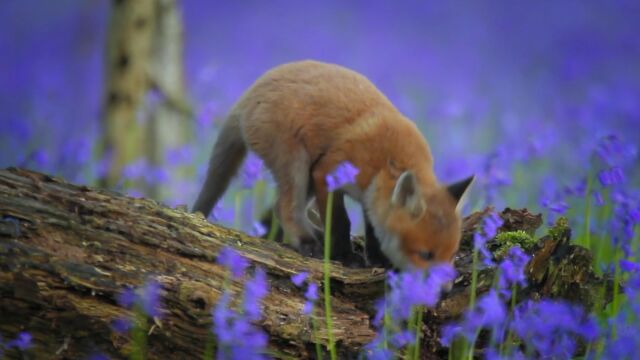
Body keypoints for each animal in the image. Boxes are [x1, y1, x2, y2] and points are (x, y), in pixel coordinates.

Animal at [192, 59, 472, 270]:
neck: (387, 158)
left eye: (451, 255)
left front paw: (378, 257)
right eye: (426, 255)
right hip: (297, 164)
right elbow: (340, 222)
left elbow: (372, 227)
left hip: (305, 178)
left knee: (275, 210)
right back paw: (308, 241)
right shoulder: (326, 173)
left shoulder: (368, 194)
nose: (444, 290)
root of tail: (249, 94)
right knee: (285, 208)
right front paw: (344, 256)